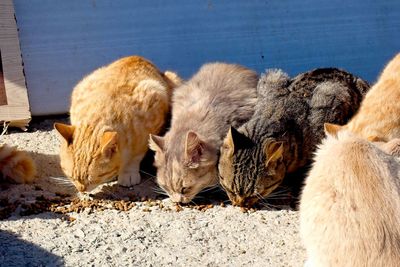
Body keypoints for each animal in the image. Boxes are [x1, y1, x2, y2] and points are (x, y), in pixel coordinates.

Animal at [54, 55, 181, 193]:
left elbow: (136, 155)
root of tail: (138, 57)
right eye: (71, 176)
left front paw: (128, 172)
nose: (81, 189)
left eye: (92, 179)